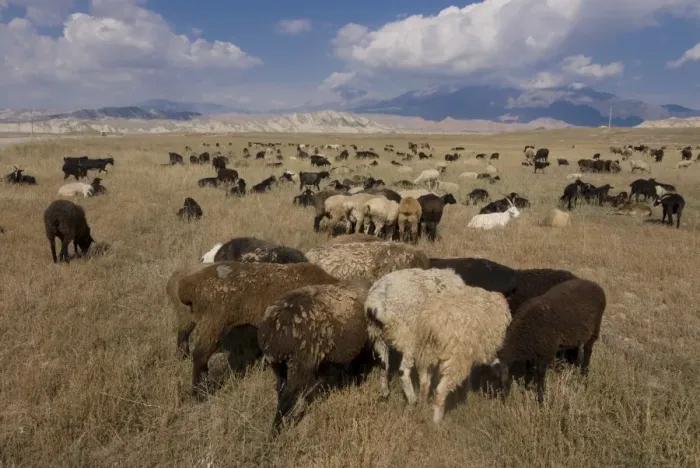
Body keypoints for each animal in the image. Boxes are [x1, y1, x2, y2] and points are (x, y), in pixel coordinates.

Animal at [176, 262, 339, 396]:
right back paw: (200, 393)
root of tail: (187, 286)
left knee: (182, 336)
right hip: (214, 323)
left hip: (193, 318)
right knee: (200, 355)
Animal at [364, 268, 467, 403]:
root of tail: (378, 303)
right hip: (408, 338)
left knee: (383, 366)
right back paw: (412, 400)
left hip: (378, 337)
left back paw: (385, 394)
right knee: (402, 371)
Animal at [415, 286, 511, 422]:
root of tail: (431, 324)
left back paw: (421, 410)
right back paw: (437, 420)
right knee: (441, 390)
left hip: (426, 355)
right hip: (455, 359)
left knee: (424, 384)